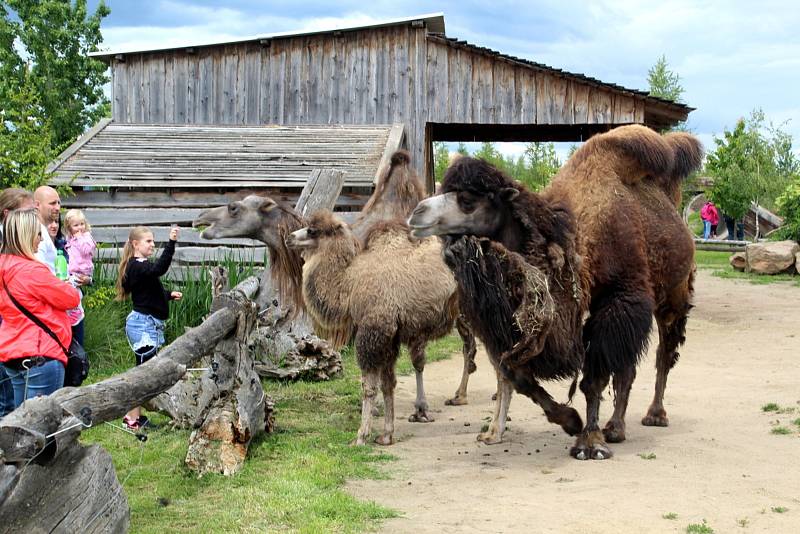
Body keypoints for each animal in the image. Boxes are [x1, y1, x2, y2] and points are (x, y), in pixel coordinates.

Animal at [288, 211, 462, 446]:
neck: (350, 284)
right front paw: (386, 435)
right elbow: (388, 383)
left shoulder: (374, 329)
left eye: (313, 230)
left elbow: (369, 387)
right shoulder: (391, 336)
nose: (289, 237)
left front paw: (361, 436)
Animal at [410, 125, 704, 460]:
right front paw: (571, 421)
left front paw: (590, 443)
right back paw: (616, 428)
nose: (417, 213)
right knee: (629, 366)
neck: (572, 244)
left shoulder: (619, 298)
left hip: (672, 294)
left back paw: (654, 415)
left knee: (663, 353)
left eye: (468, 199)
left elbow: (594, 377)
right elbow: (518, 375)